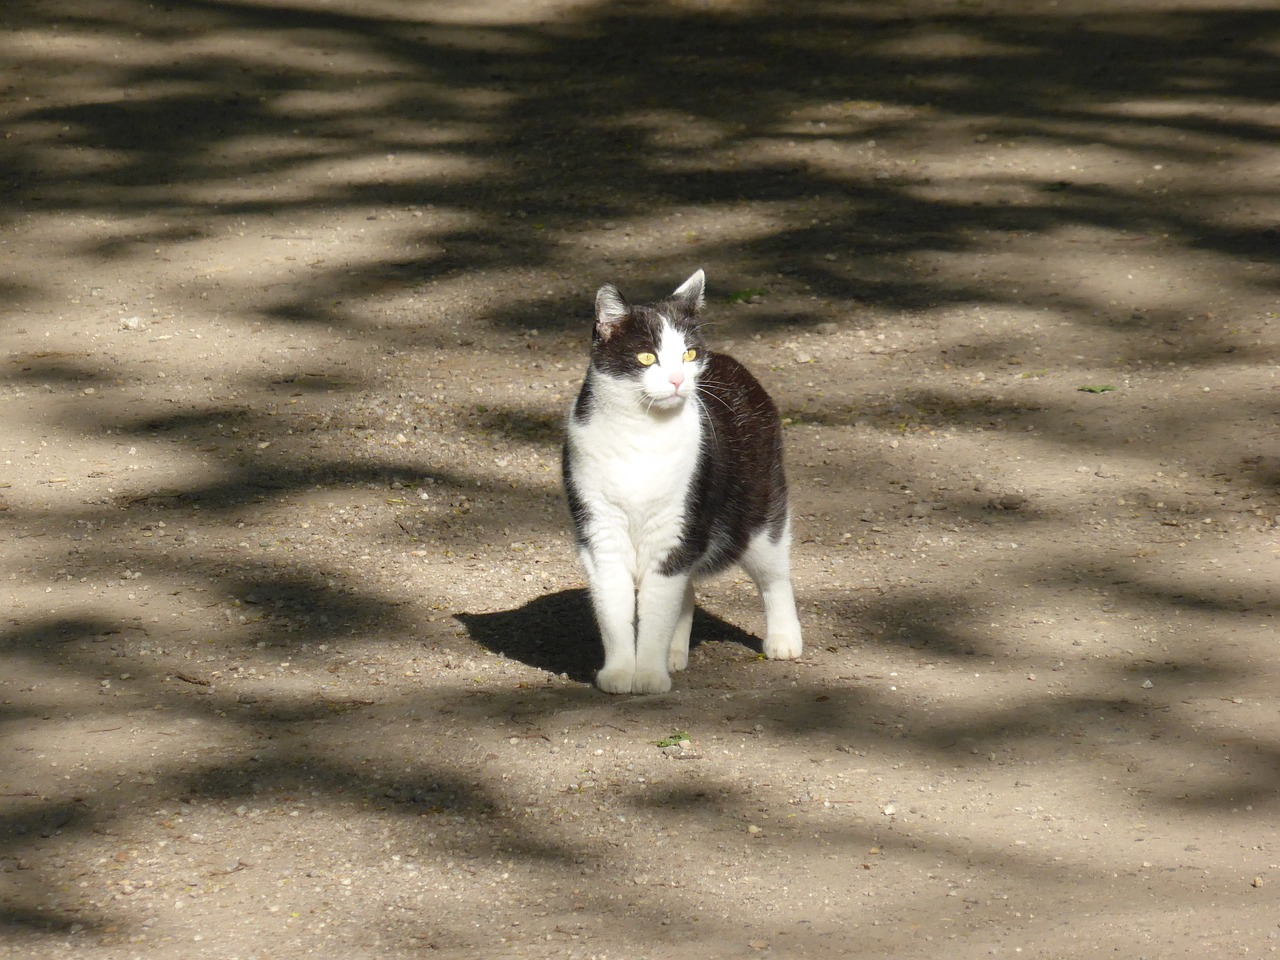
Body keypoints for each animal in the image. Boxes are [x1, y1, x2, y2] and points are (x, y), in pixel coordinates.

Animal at [560, 267, 798, 696]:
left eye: (688, 354)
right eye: (646, 356)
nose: (675, 380)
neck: (641, 436)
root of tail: (733, 363)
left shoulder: (676, 526)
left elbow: (656, 610)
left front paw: (649, 676)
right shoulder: (601, 532)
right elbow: (615, 608)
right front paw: (620, 672)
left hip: (758, 515)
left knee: (774, 575)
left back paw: (784, 640)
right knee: (684, 591)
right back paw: (676, 652)